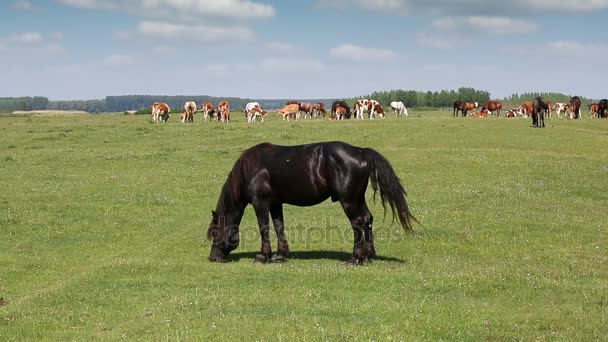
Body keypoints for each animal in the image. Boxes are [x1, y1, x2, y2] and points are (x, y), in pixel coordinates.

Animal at [205, 141, 418, 264]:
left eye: (215, 233)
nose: (213, 257)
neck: (251, 169)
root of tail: (360, 152)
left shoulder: (261, 203)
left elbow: (264, 228)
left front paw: (263, 256)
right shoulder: (275, 203)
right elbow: (279, 226)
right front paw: (281, 254)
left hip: (349, 200)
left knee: (358, 222)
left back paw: (356, 258)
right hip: (357, 198)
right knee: (367, 219)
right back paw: (368, 255)